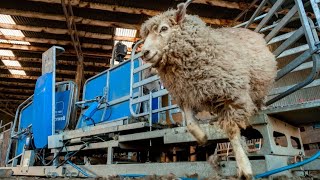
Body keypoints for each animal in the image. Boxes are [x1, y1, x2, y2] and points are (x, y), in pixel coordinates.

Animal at [140, 0, 278, 179]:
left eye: (164, 28)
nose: (144, 53)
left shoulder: (232, 94)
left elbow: (232, 131)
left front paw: (244, 167)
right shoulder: (187, 95)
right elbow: (190, 123)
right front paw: (203, 138)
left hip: (260, 86)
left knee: (260, 99)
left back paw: (261, 108)